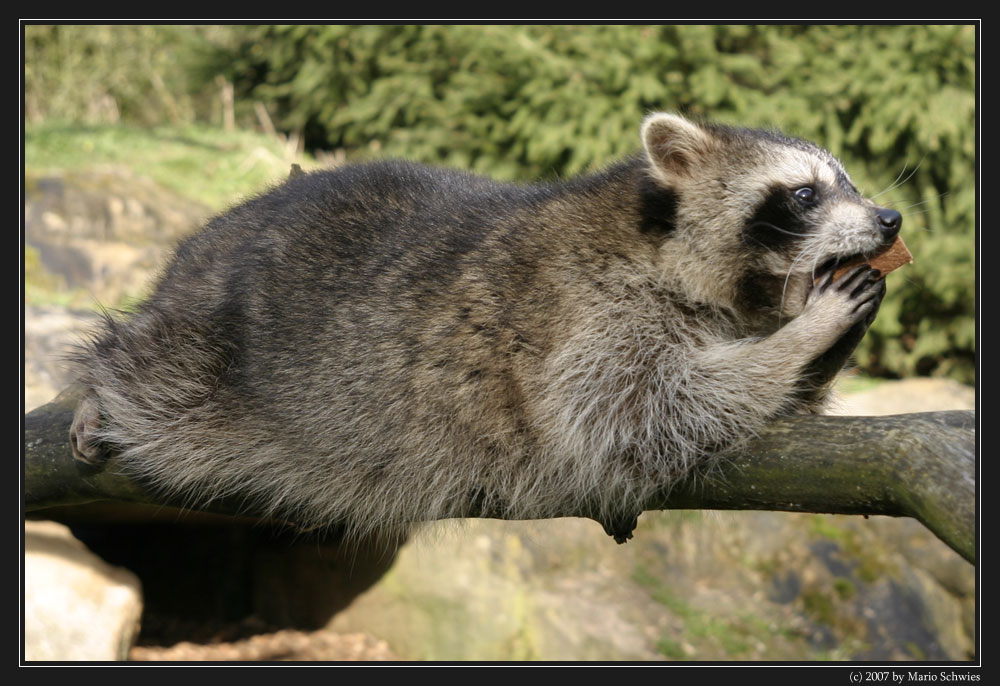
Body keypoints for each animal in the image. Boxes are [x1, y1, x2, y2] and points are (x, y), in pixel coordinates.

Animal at [70, 114, 900, 544]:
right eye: (804, 194)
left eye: (851, 182)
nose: (891, 218)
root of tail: (195, 250)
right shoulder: (588, 312)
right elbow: (640, 411)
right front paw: (807, 332)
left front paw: (819, 338)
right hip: (202, 349)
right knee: (150, 375)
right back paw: (97, 381)